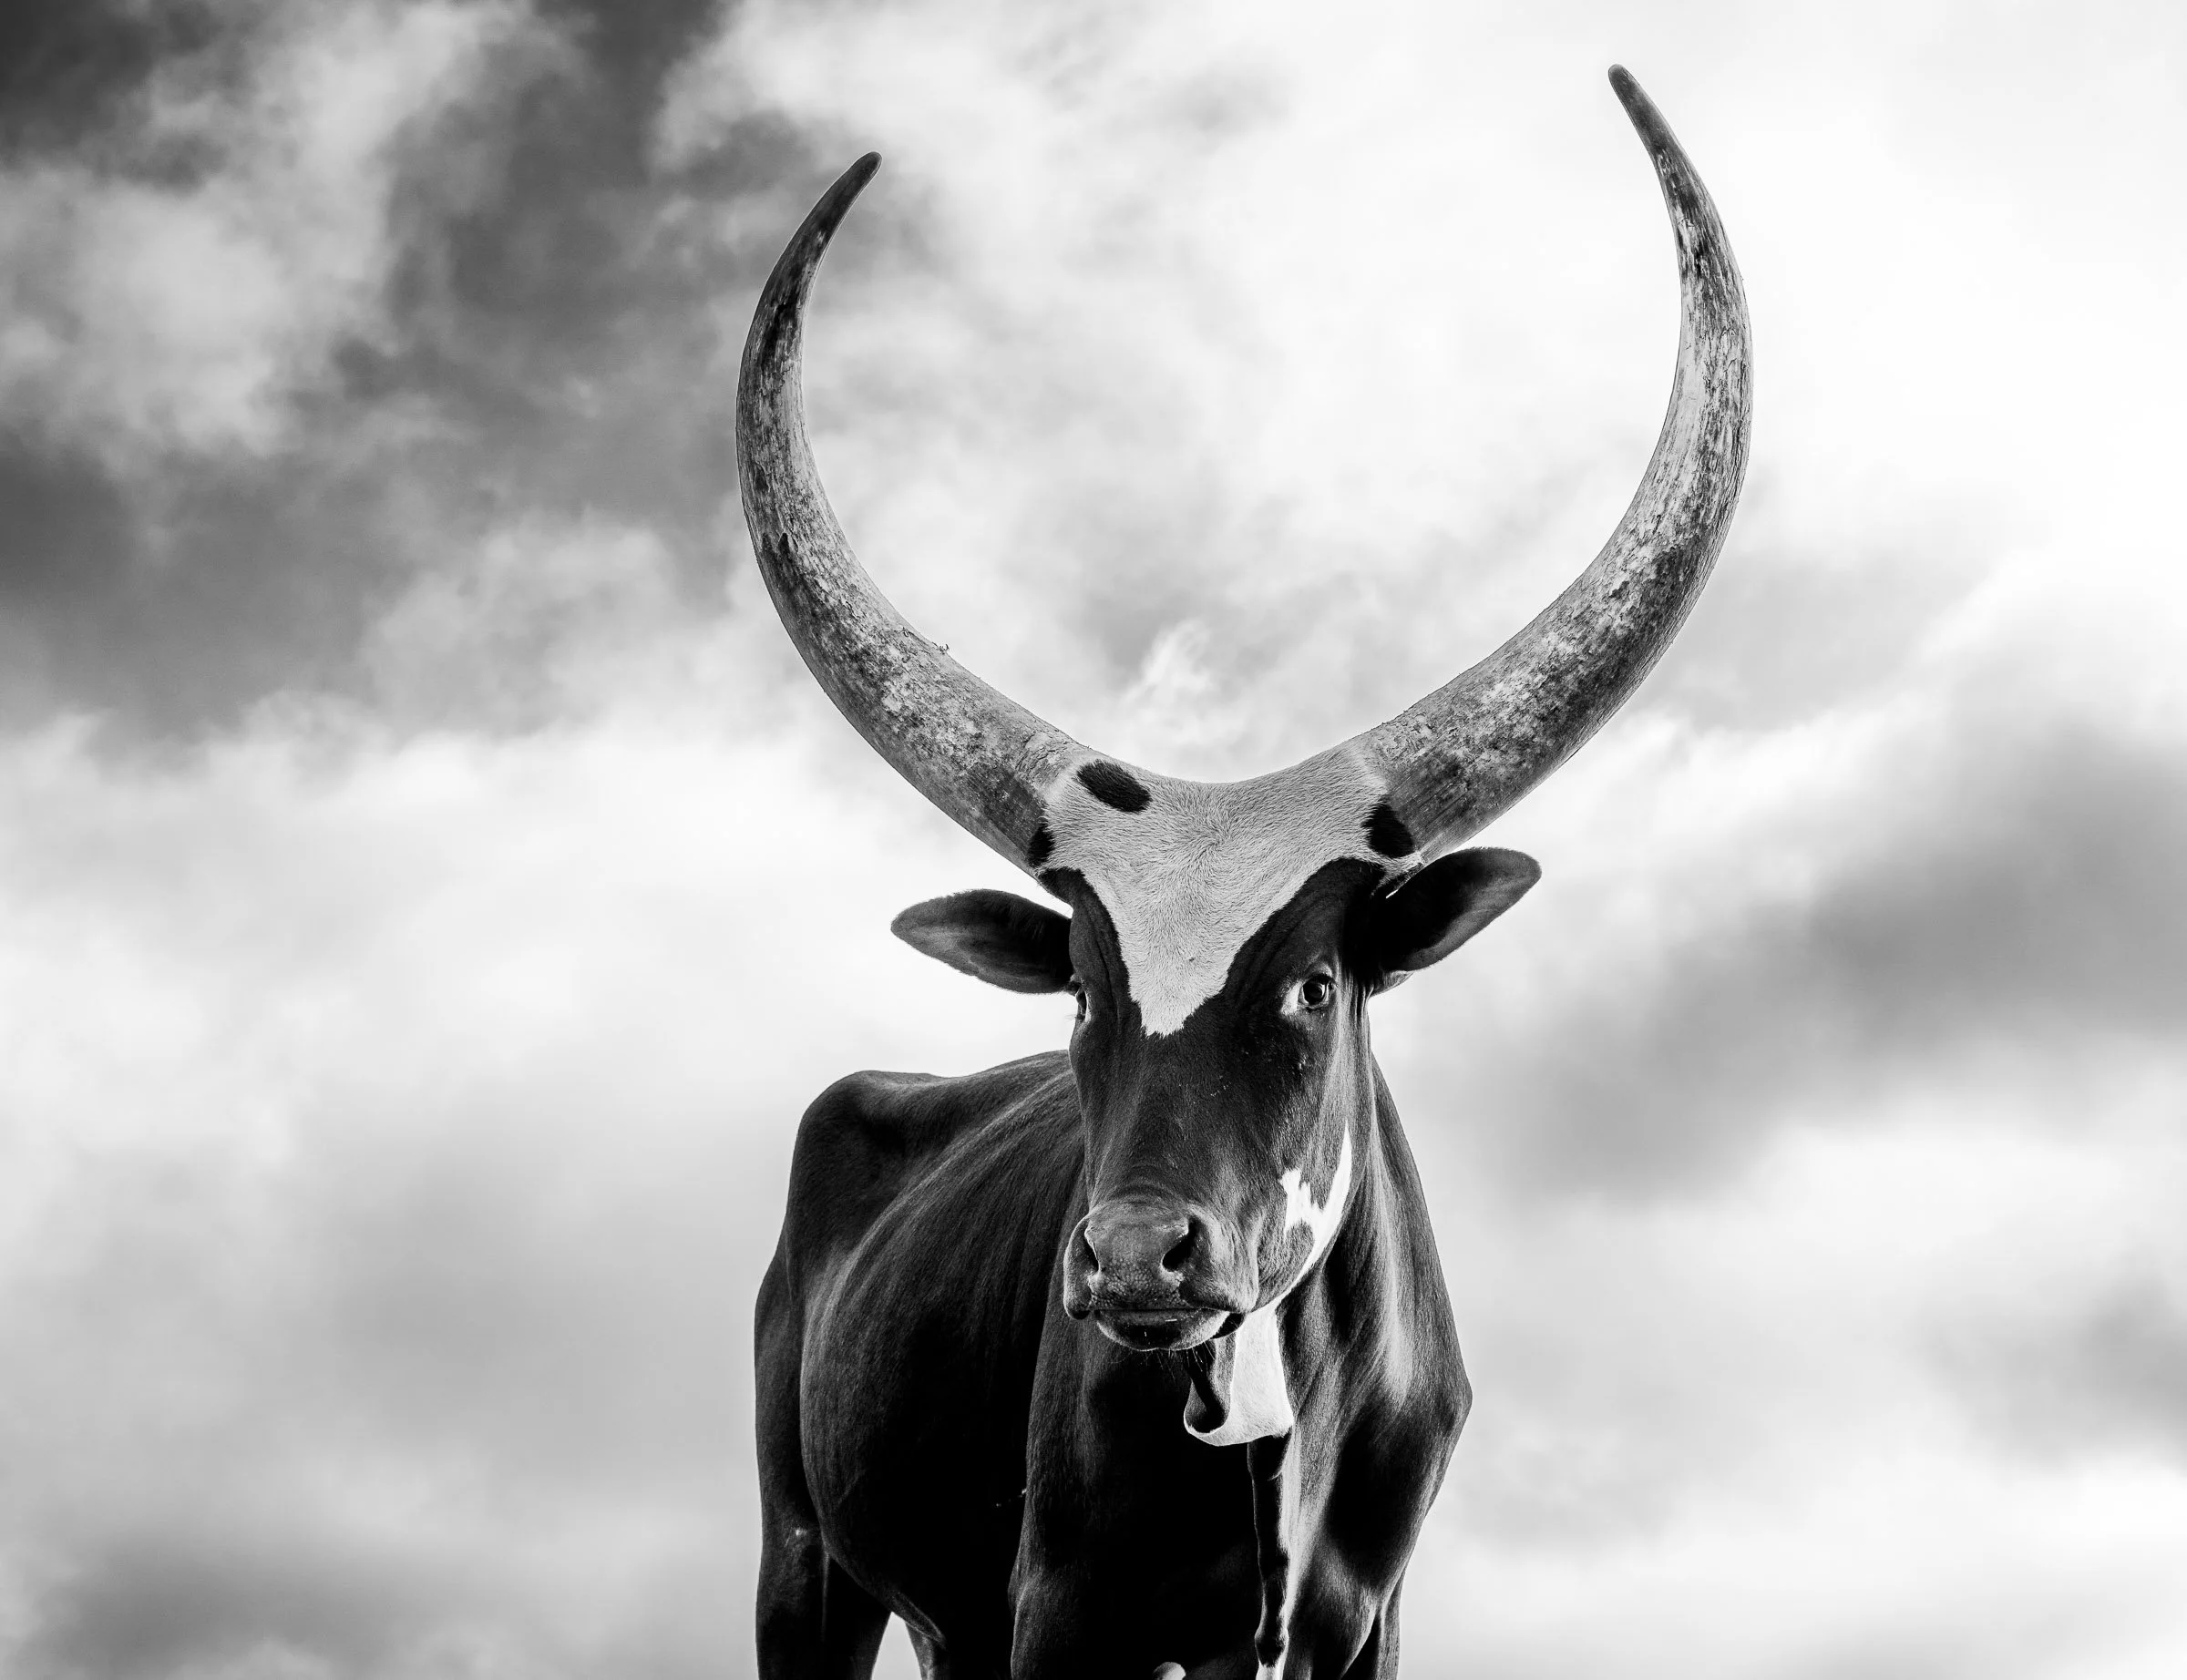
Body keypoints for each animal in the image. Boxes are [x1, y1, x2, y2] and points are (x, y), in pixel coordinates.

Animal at [738, 66, 1750, 1680]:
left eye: (1318, 984)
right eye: (1082, 993)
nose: (1137, 1258)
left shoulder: (1365, 1614)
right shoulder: (1058, 1607)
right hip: (806, 1559)